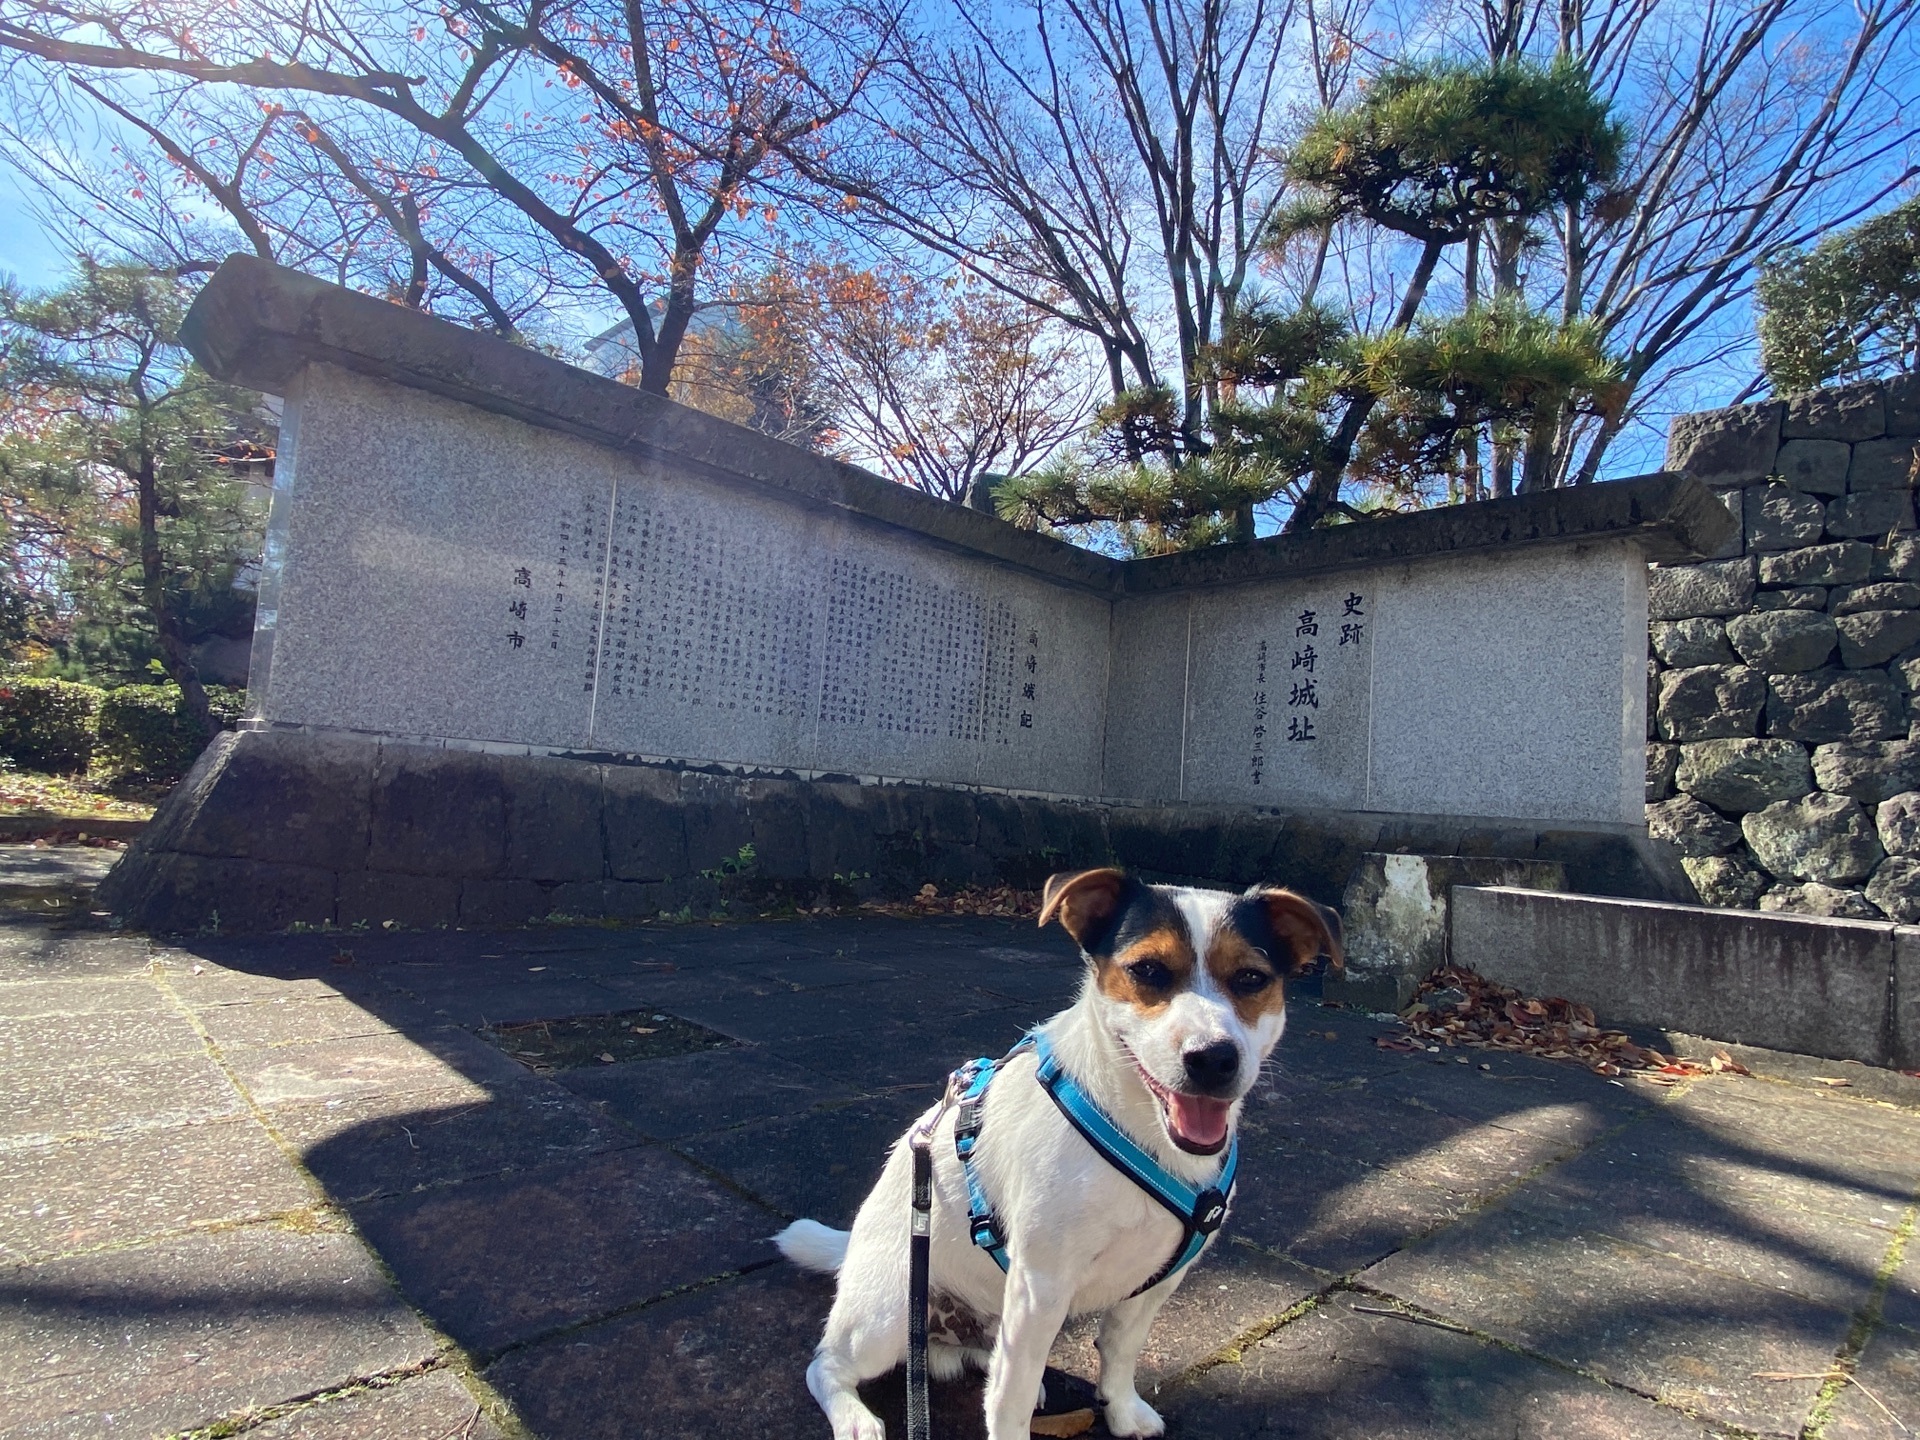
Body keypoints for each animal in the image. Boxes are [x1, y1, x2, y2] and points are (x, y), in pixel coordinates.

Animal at [771, 867, 1344, 1440]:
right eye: (1148, 970)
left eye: (1251, 978)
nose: (1213, 1059)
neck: (1143, 1132)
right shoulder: (1039, 1287)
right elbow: (1012, 1398)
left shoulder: (1155, 1282)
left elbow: (1119, 1350)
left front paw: (1121, 1409)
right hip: (889, 1315)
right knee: (826, 1365)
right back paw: (854, 1417)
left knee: (985, 1354)